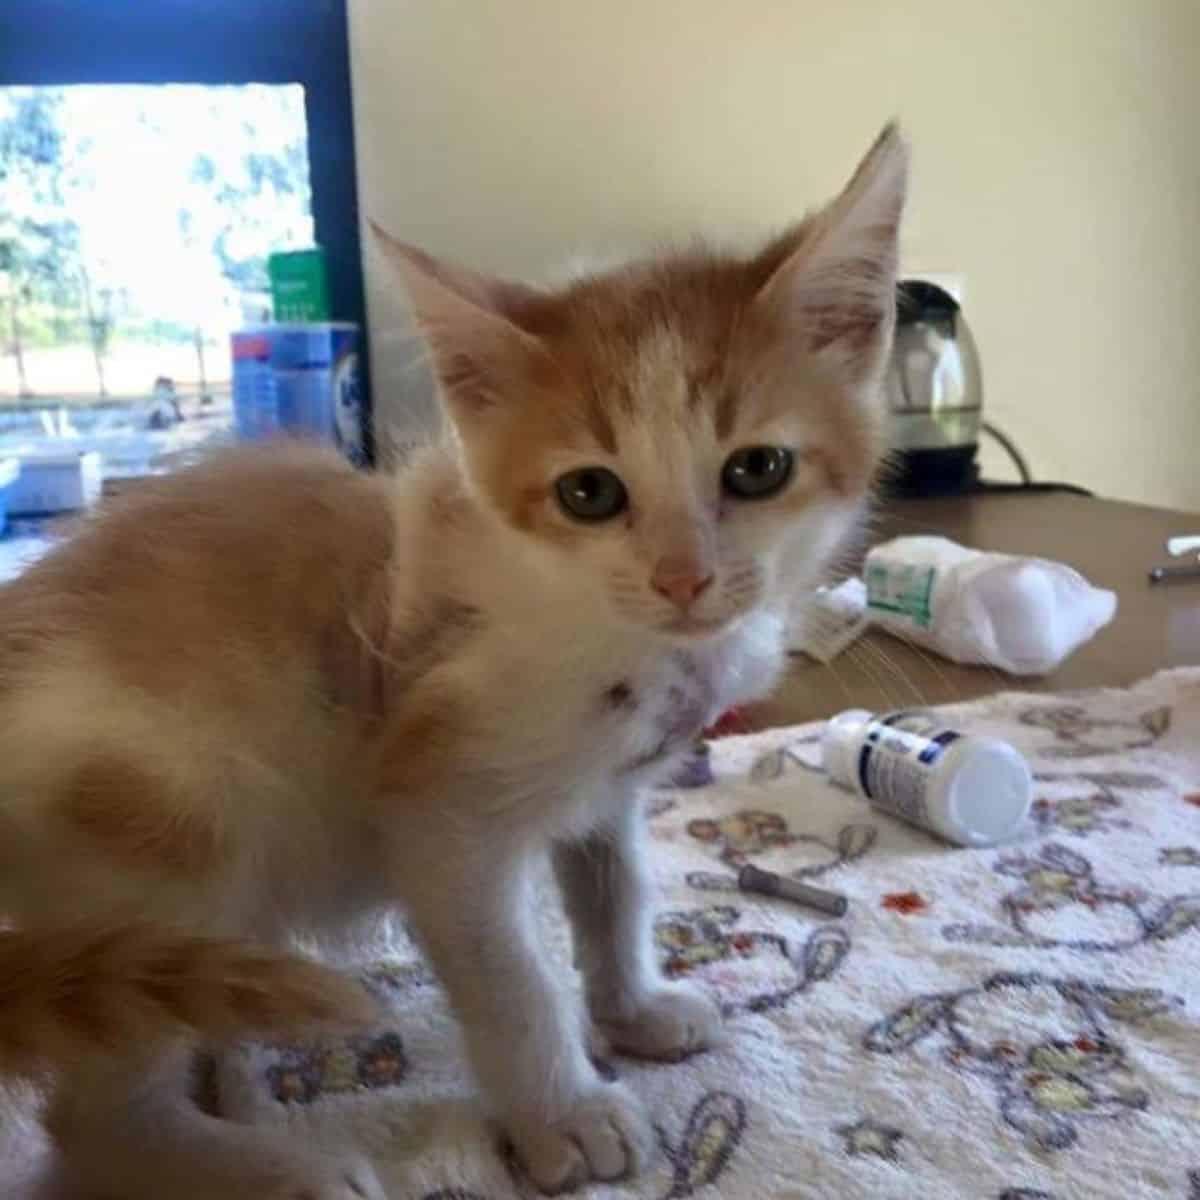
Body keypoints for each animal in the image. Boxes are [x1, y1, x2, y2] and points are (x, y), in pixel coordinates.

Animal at [0, 124, 902, 1200]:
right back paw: (264, 1165)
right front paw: (567, 1115)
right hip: (166, 819)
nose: (683, 577)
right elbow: (510, 975)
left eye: (758, 469)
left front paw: (632, 1008)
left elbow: (614, 889)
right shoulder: (438, 809)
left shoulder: (611, 785)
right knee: (89, 1120)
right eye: (590, 493)